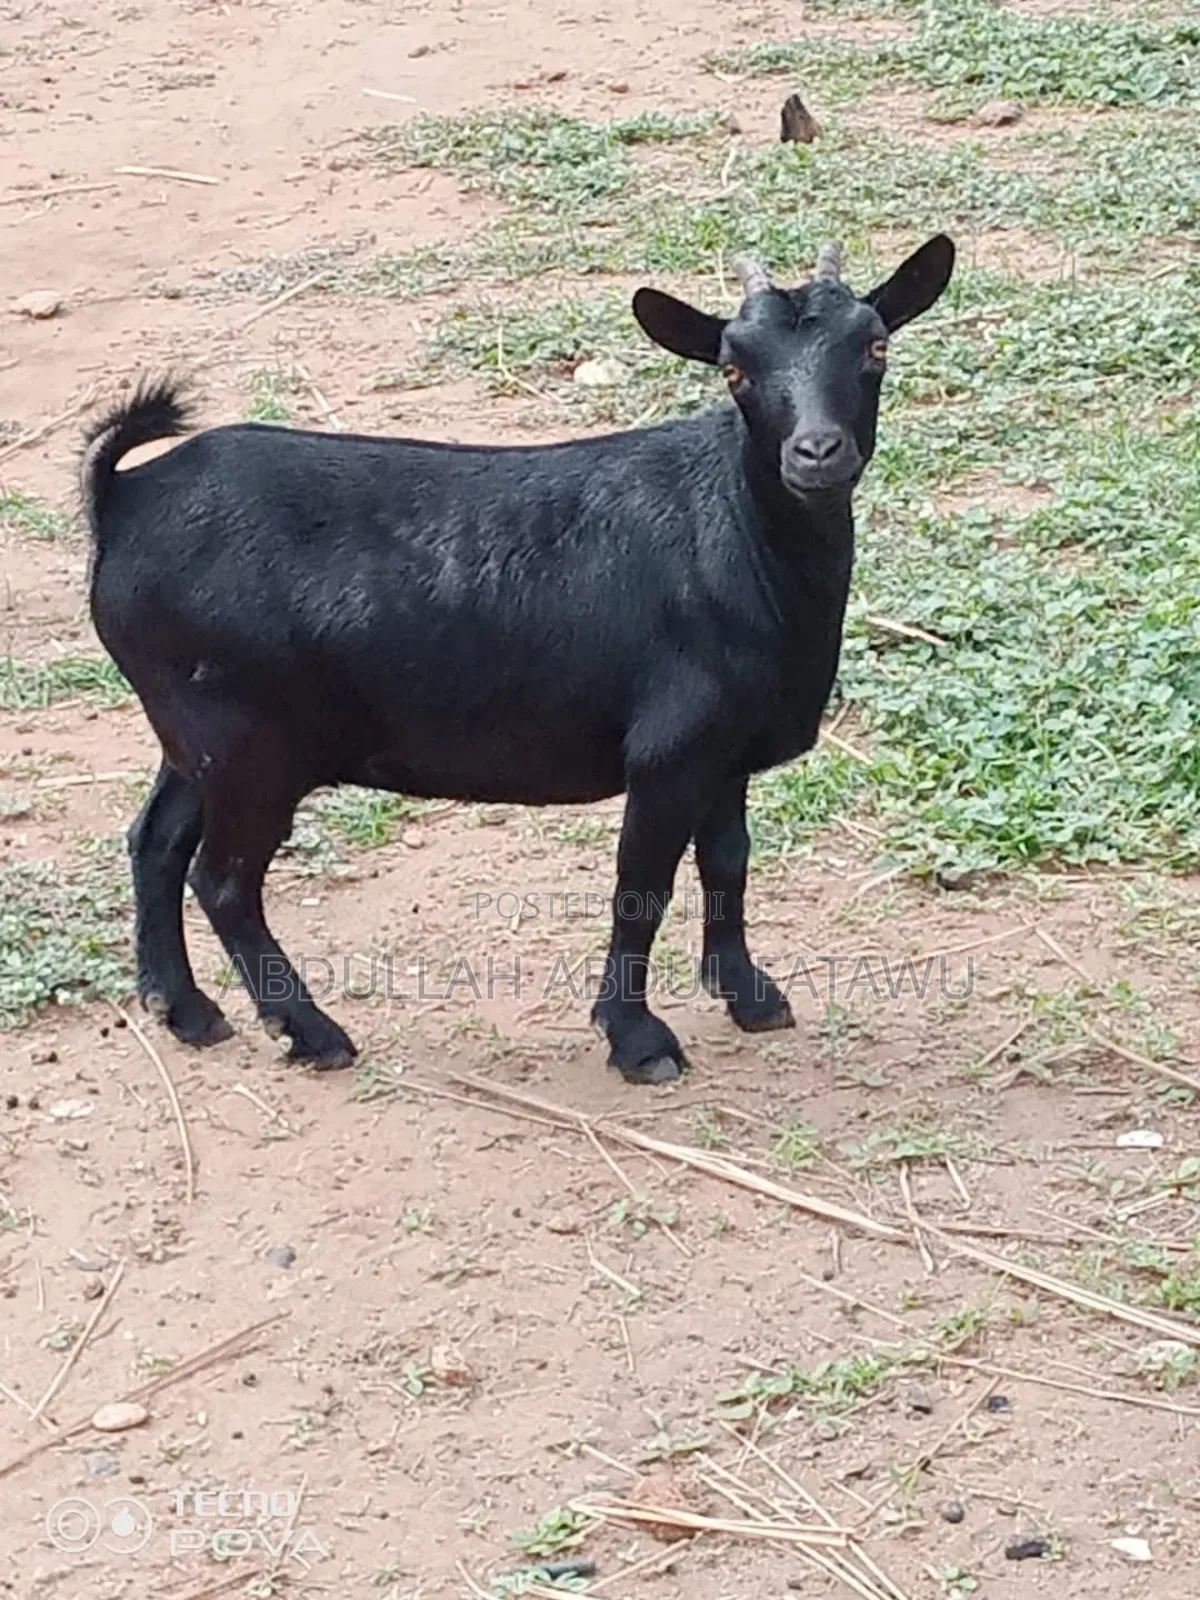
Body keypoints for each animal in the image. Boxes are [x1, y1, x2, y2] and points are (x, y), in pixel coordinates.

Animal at [81, 233, 955, 1084]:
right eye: (734, 368)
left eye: (875, 346)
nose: (816, 452)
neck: (740, 538)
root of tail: (123, 501)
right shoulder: (670, 751)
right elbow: (641, 886)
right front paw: (637, 1040)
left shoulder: (726, 750)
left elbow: (727, 863)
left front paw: (749, 995)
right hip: (248, 747)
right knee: (225, 880)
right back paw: (311, 1031)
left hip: (195, 737)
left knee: (155, 841)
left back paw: (184, 1010)